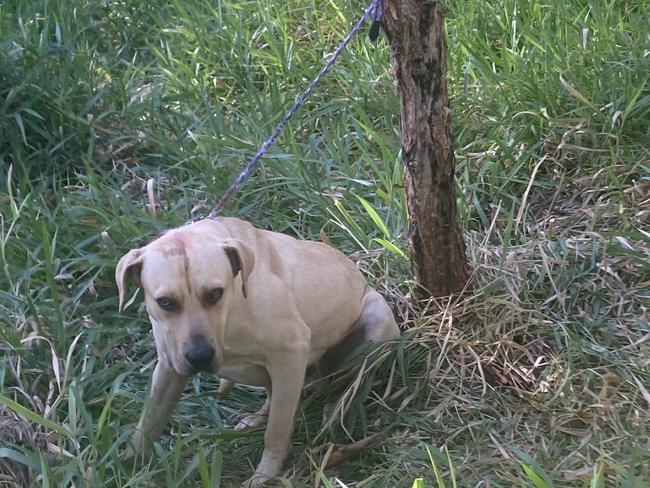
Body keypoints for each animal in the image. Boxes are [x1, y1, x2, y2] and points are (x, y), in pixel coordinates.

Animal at [116, 218, 400, 488]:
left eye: (215, 294)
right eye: (165, 302)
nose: (200, 356)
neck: (231, 315)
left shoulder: (290, 354)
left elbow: (277, 430)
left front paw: (265, 474)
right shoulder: (168, 369)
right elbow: (148, 422)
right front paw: (126, 465)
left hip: (375, 324)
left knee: (341, 386)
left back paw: (334, 410)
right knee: (275, 398)